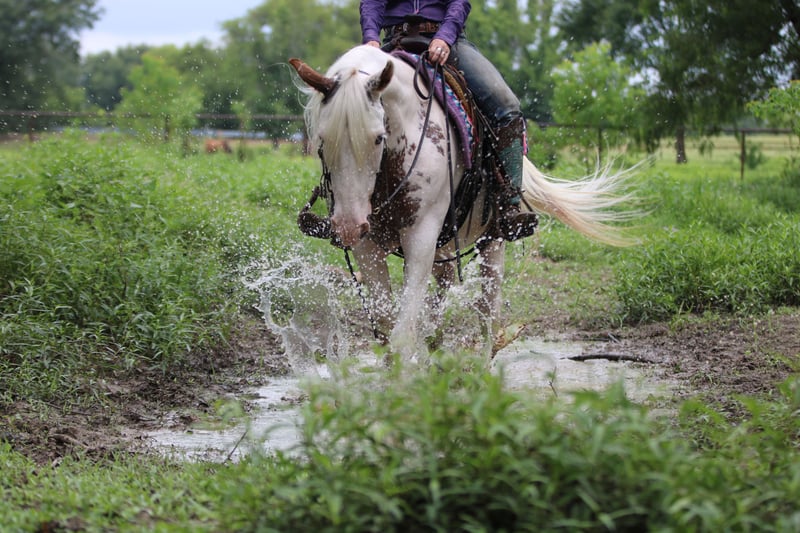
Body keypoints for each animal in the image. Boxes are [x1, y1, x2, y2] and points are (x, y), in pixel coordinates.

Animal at [290, 45, 634, 362]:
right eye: (322, 139)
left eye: (377, 138)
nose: (347, 226)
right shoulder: (368, 245)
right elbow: (387, 329)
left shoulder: (421, 237)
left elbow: (402, 333)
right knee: (441, 295)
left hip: (493, 239)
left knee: (488, 310)